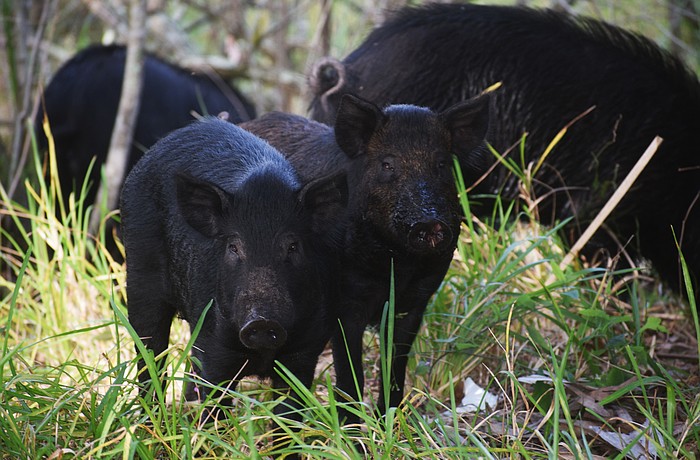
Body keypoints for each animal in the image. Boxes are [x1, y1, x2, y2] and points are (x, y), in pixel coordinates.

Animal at [120, 117, 346, 413]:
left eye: (293, 246)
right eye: (234, 247)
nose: (261, 321)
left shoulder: (305, 351)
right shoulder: (214, 346)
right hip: (138, 274)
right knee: (149, 354)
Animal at [241, 93, 490, 421]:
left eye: (441, 164)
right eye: (387, 164)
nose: (429, 222)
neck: (396, 265)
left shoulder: (415, 301)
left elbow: (396, 364)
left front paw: (391, 419)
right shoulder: (345, 299)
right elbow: (350, 369)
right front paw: (351, 424)